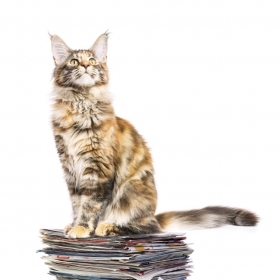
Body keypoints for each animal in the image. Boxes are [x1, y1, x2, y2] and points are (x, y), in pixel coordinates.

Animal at [49, 32, 258, 238]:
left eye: (92, 61)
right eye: (74, 62)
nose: (85, 65)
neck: (80, 105)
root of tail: (153, 215)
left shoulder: (97, 169)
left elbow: (90, 204)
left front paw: (82, 228)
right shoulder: (70, 168)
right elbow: (77, 202)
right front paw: (74, 225)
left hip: (130, 190)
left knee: (146, 228)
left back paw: (107, 227)